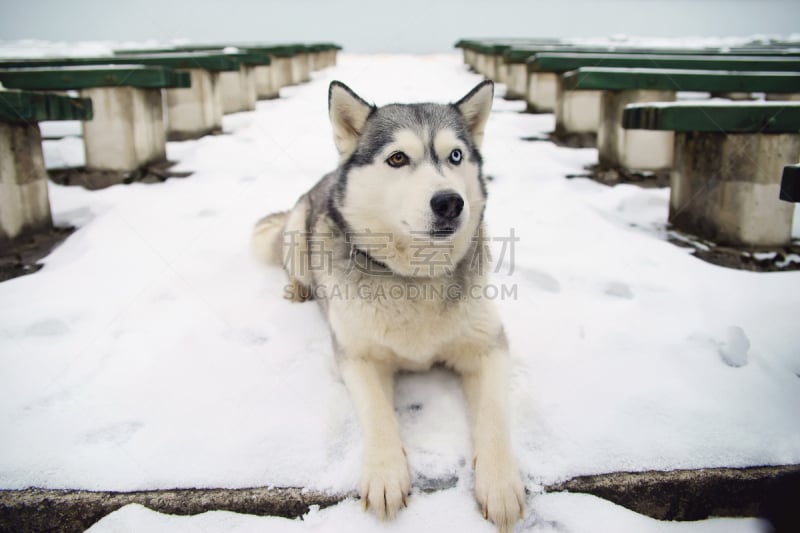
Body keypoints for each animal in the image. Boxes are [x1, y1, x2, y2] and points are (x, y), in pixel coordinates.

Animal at [252, 81, 524, 528]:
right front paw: (385, 475)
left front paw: (500, 484)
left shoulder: (489, 346)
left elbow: (495, 417)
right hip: (296, 230)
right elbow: (378, 413)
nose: (449, 202)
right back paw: (298, 289)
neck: (415, 279)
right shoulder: (358, 355)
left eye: (455, 155)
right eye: (397, 158)